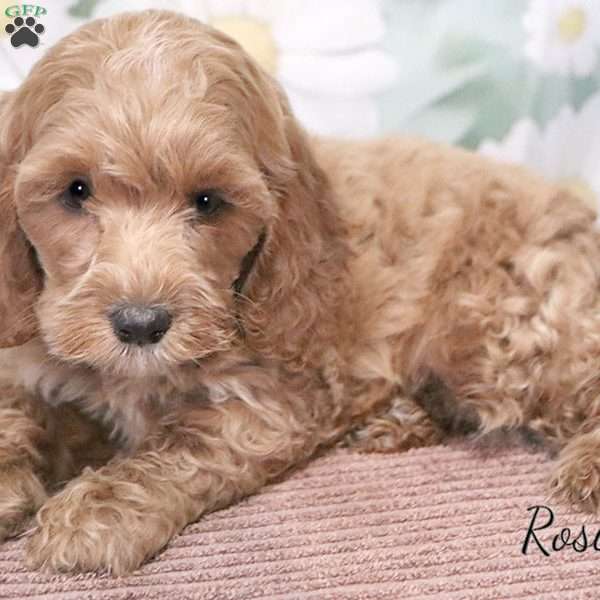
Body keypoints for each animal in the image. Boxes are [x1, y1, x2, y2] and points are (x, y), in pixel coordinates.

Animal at [1, 9, 600, 572]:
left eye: (208, 201)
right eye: (76, 191)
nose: (141, 324)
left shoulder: (271, 399)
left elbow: (182, 443)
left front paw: (97, 512)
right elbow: (21, 408)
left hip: (502, 331)